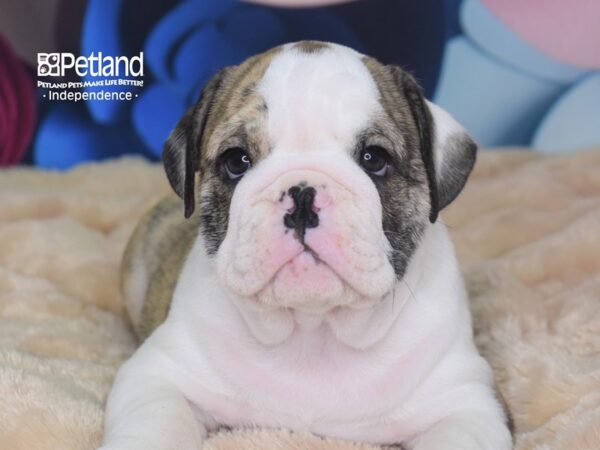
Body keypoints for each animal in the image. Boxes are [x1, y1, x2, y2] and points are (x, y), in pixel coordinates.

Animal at [101, 42, 512, 450]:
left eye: (374, 159)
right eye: (236, 161)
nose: (301, 195)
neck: (314, 329)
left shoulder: (469, 404)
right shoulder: (157, 374)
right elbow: (154, 426)